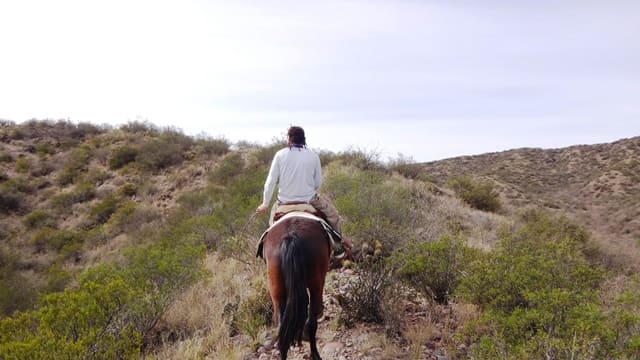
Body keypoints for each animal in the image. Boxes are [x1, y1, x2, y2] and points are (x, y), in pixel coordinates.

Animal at [260, 215, 330, 358]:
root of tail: (291, 236)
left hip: (275, 289)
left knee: (282, 329)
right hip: (316, 284)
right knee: (311, 323)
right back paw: (315, 354)